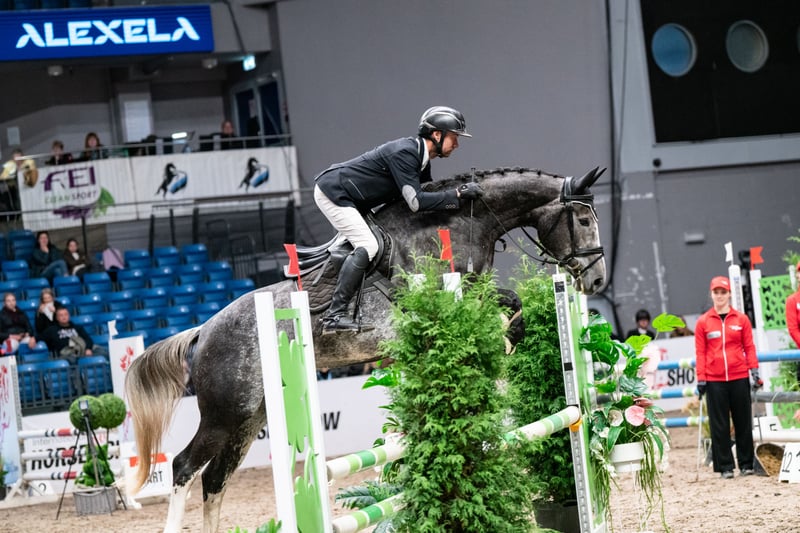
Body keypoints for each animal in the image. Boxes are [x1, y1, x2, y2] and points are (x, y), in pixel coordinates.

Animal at [125, 166, 607, 533]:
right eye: (583, 222)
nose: (597, 280)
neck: (463, 221)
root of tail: (203, 330)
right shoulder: (448, 293)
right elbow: (505, 303)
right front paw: (502, 341)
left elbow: (512, 302)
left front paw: (506, 340)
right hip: (225, 413)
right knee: (185, 467)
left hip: (249, 418)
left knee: (215, 480)